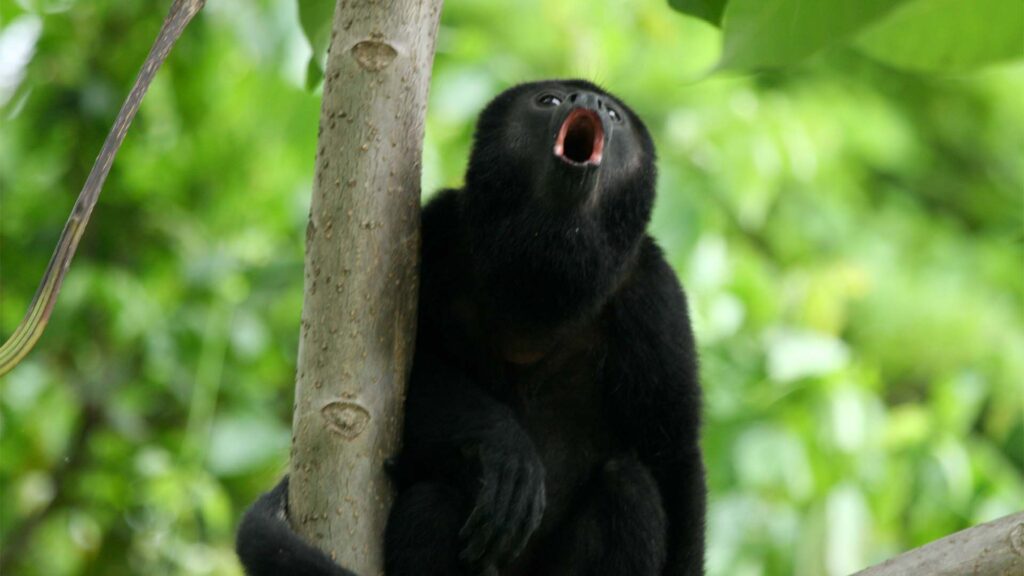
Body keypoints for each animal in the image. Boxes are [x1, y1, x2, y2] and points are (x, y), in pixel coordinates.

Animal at [236, 79, 708, 573]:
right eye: (550, 100)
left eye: (614, 115)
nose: (590, 102)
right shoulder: (439, 235)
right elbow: (398, 384)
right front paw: (504, 446)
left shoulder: (654, 294)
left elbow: (672, 451)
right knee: (431, 504)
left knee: (629, 487)